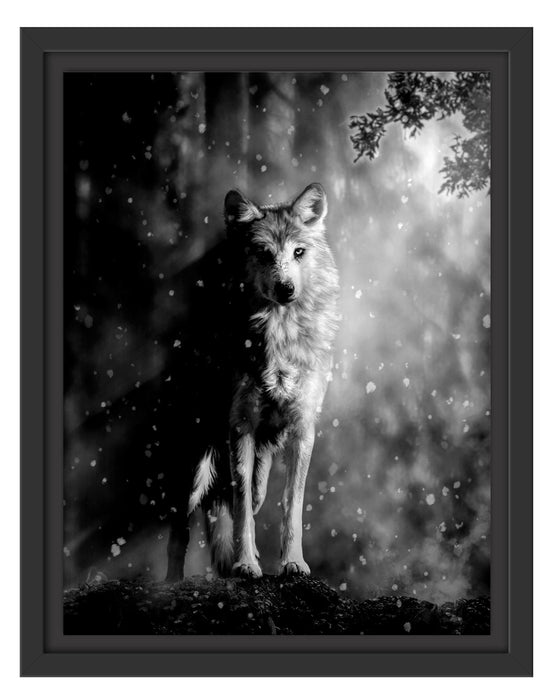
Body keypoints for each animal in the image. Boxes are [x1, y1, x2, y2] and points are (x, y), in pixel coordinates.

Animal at [165, 183, 339, 580]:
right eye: (263, 253)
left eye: (298, 252)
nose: (286, 288)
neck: (281, 335)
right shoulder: (240, 426)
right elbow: (242, 508)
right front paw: (246, 565)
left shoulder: (302, 429)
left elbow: (292, 506)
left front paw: (293, 563)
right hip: (194, 467)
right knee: (181, 530)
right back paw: (172, 582)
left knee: (241, 503)